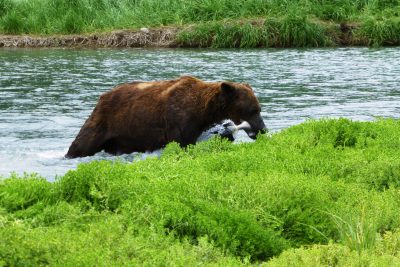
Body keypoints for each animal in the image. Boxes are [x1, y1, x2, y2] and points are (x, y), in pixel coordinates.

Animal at [65, 76, 266, 159]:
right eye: (253, 110)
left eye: (259, 108)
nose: (263, 129)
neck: (203, 111)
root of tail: (102, 96)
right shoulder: (178, 120)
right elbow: (180, 143)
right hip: (104, 121)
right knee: (81, 145)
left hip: (123, 137)